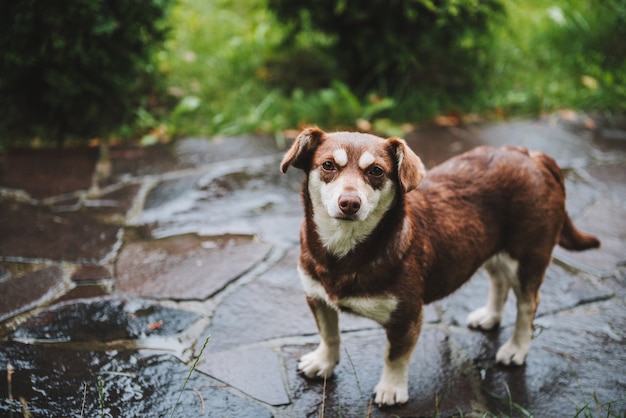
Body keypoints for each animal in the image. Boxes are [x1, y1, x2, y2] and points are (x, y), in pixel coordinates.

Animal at [280, 126, 600, 404]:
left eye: (376, 171)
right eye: (328, 165)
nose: (349, 202)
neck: (344, 251)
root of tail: (531, 155)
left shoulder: (407, 317)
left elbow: (394, 357)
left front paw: (391, 389)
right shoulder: (316, 297)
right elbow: (329, 334)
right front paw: (324, 362)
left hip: (527, 257)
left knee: (528, 304)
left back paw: (516, 348)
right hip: (488, 247)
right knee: (498, 280)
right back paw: (490, 316)